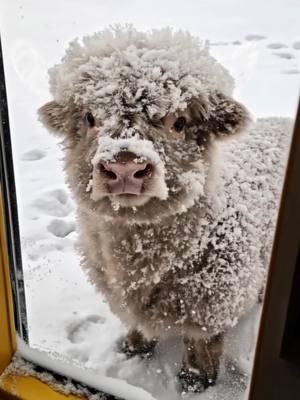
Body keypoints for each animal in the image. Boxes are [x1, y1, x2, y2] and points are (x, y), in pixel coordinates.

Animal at [38, 28, 290, 394]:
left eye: (179, 122)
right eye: (90, 118)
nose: (125, 166)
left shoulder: (212, 303)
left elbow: (201, 346)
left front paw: (196, 381)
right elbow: (137, 328)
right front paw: (133, 349)